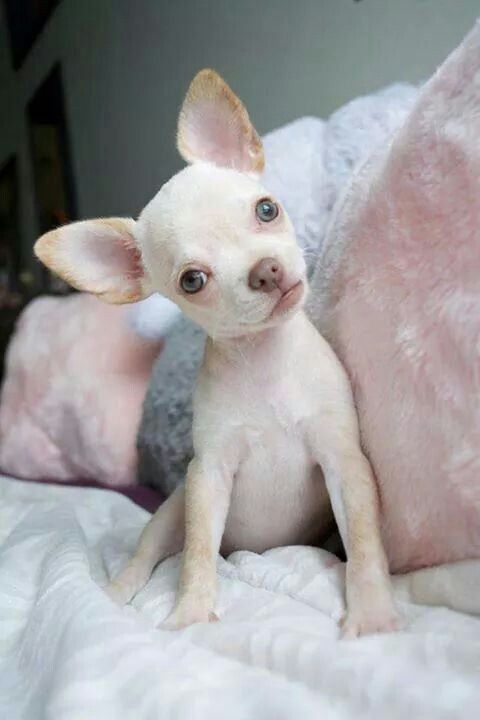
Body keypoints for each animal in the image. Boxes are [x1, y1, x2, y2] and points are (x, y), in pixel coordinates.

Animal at [33, 70, 400, 640]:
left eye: (267, 210)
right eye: (193, 280)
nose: (266, 270)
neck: (265, 360)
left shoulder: (344, 463)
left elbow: (362, 542)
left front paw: (373, 613)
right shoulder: (207, 480)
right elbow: (199, 555)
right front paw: (191, 612)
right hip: (172, 510)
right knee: (151, 555)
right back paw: (113, 594)